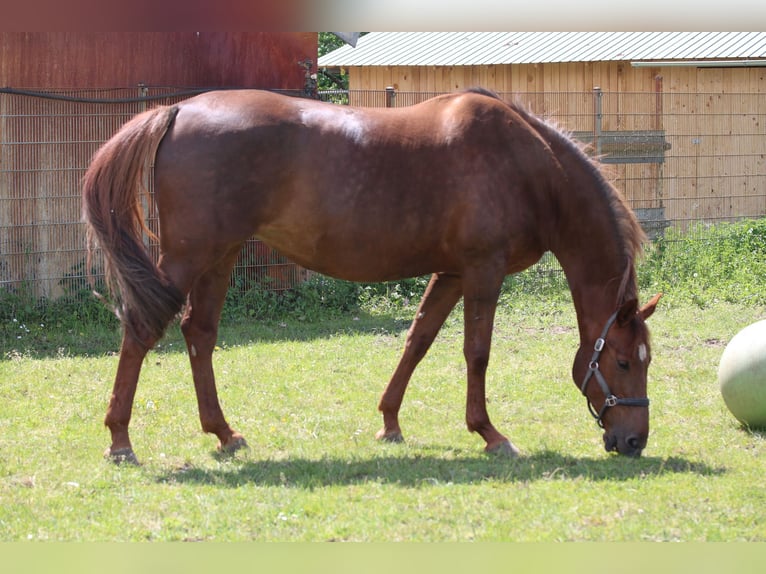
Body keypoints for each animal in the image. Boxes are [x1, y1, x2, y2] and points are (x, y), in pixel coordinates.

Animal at [81, 88, 664, 466]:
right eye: (622, 361)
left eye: (645, 360)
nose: (635, 441)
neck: (529, 167)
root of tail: (178, 110)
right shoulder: (483, 269)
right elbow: (476, 352)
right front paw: (490, 434)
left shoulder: (451, 272)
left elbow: (418, 340)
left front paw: (390, 422)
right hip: (189, 256)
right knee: (142, 331)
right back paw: (120, 441)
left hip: (220, 256)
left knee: (199, 334)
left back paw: (224, 433)